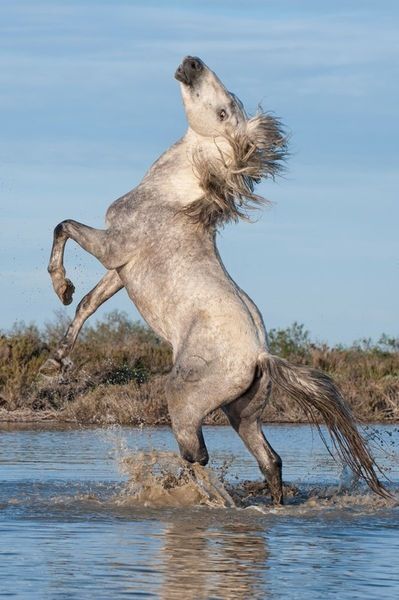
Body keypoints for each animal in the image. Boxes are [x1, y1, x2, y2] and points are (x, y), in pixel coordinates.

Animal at [43, 56, 388, 504]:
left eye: (225, 111)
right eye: (230, 101)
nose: (192, 63)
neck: (173, 196)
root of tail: (260, 355)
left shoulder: (112, 247)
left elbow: (63, 226)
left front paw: (60, 287)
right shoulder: (121, 271)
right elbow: (87, 304)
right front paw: (55, 361)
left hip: (185, 399)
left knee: (198, 455)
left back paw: (187, 492)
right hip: (243, 413)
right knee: (270, 460)